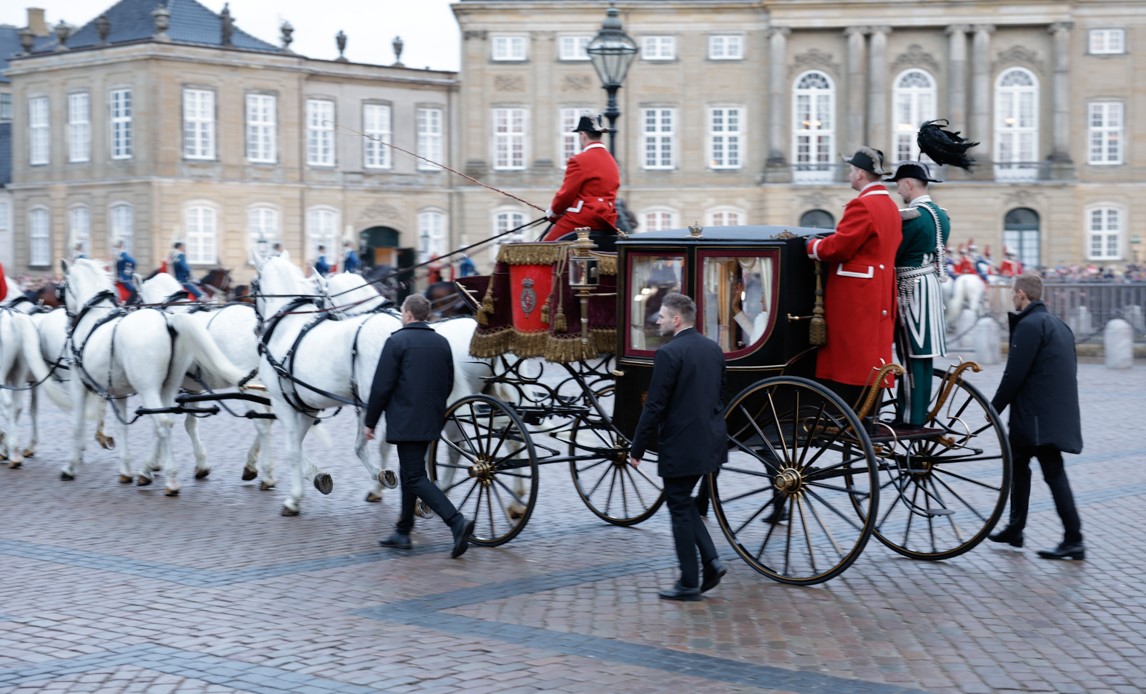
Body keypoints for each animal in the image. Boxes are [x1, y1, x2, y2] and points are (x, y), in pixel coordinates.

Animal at [60, 261, 246, 494]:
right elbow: (128, 426)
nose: (68, 319)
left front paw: (71, 465)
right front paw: (130, 468)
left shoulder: (80, 382)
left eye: (63, 287)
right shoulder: (123, 390)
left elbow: (77, 423)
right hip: (167, 385)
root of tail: (169, 322)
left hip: (149, 387)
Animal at [137, 272, 271, 490]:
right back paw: (252, 465)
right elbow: (189, 424)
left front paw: (149, 466)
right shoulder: (193, 390)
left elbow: (160, 421)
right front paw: (200, 463)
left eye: (139, 299)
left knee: (264, 423)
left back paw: (267, 473)